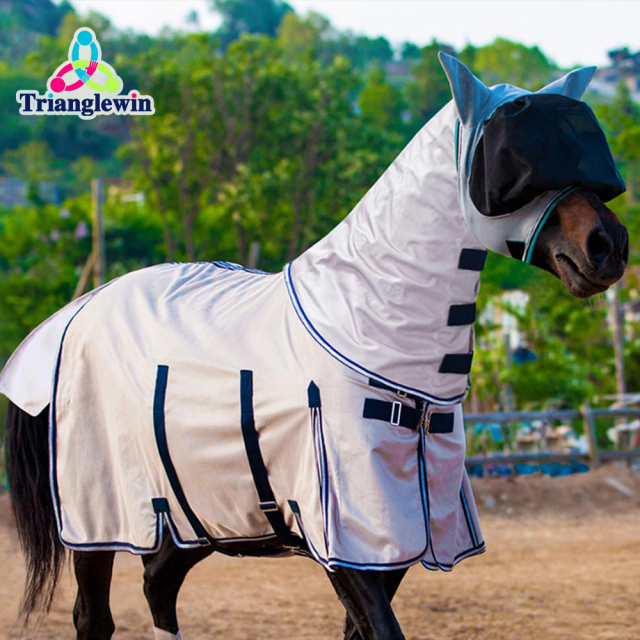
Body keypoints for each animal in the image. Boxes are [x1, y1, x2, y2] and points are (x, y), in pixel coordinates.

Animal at [1, 54, 629, 640]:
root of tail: (78, 312)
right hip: (100, 516)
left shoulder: (390, 540)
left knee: (159, 582)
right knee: (95, 616)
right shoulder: (344, 536)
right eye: (515, 163)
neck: (359, 329)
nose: (609, 246)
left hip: (201, 512)